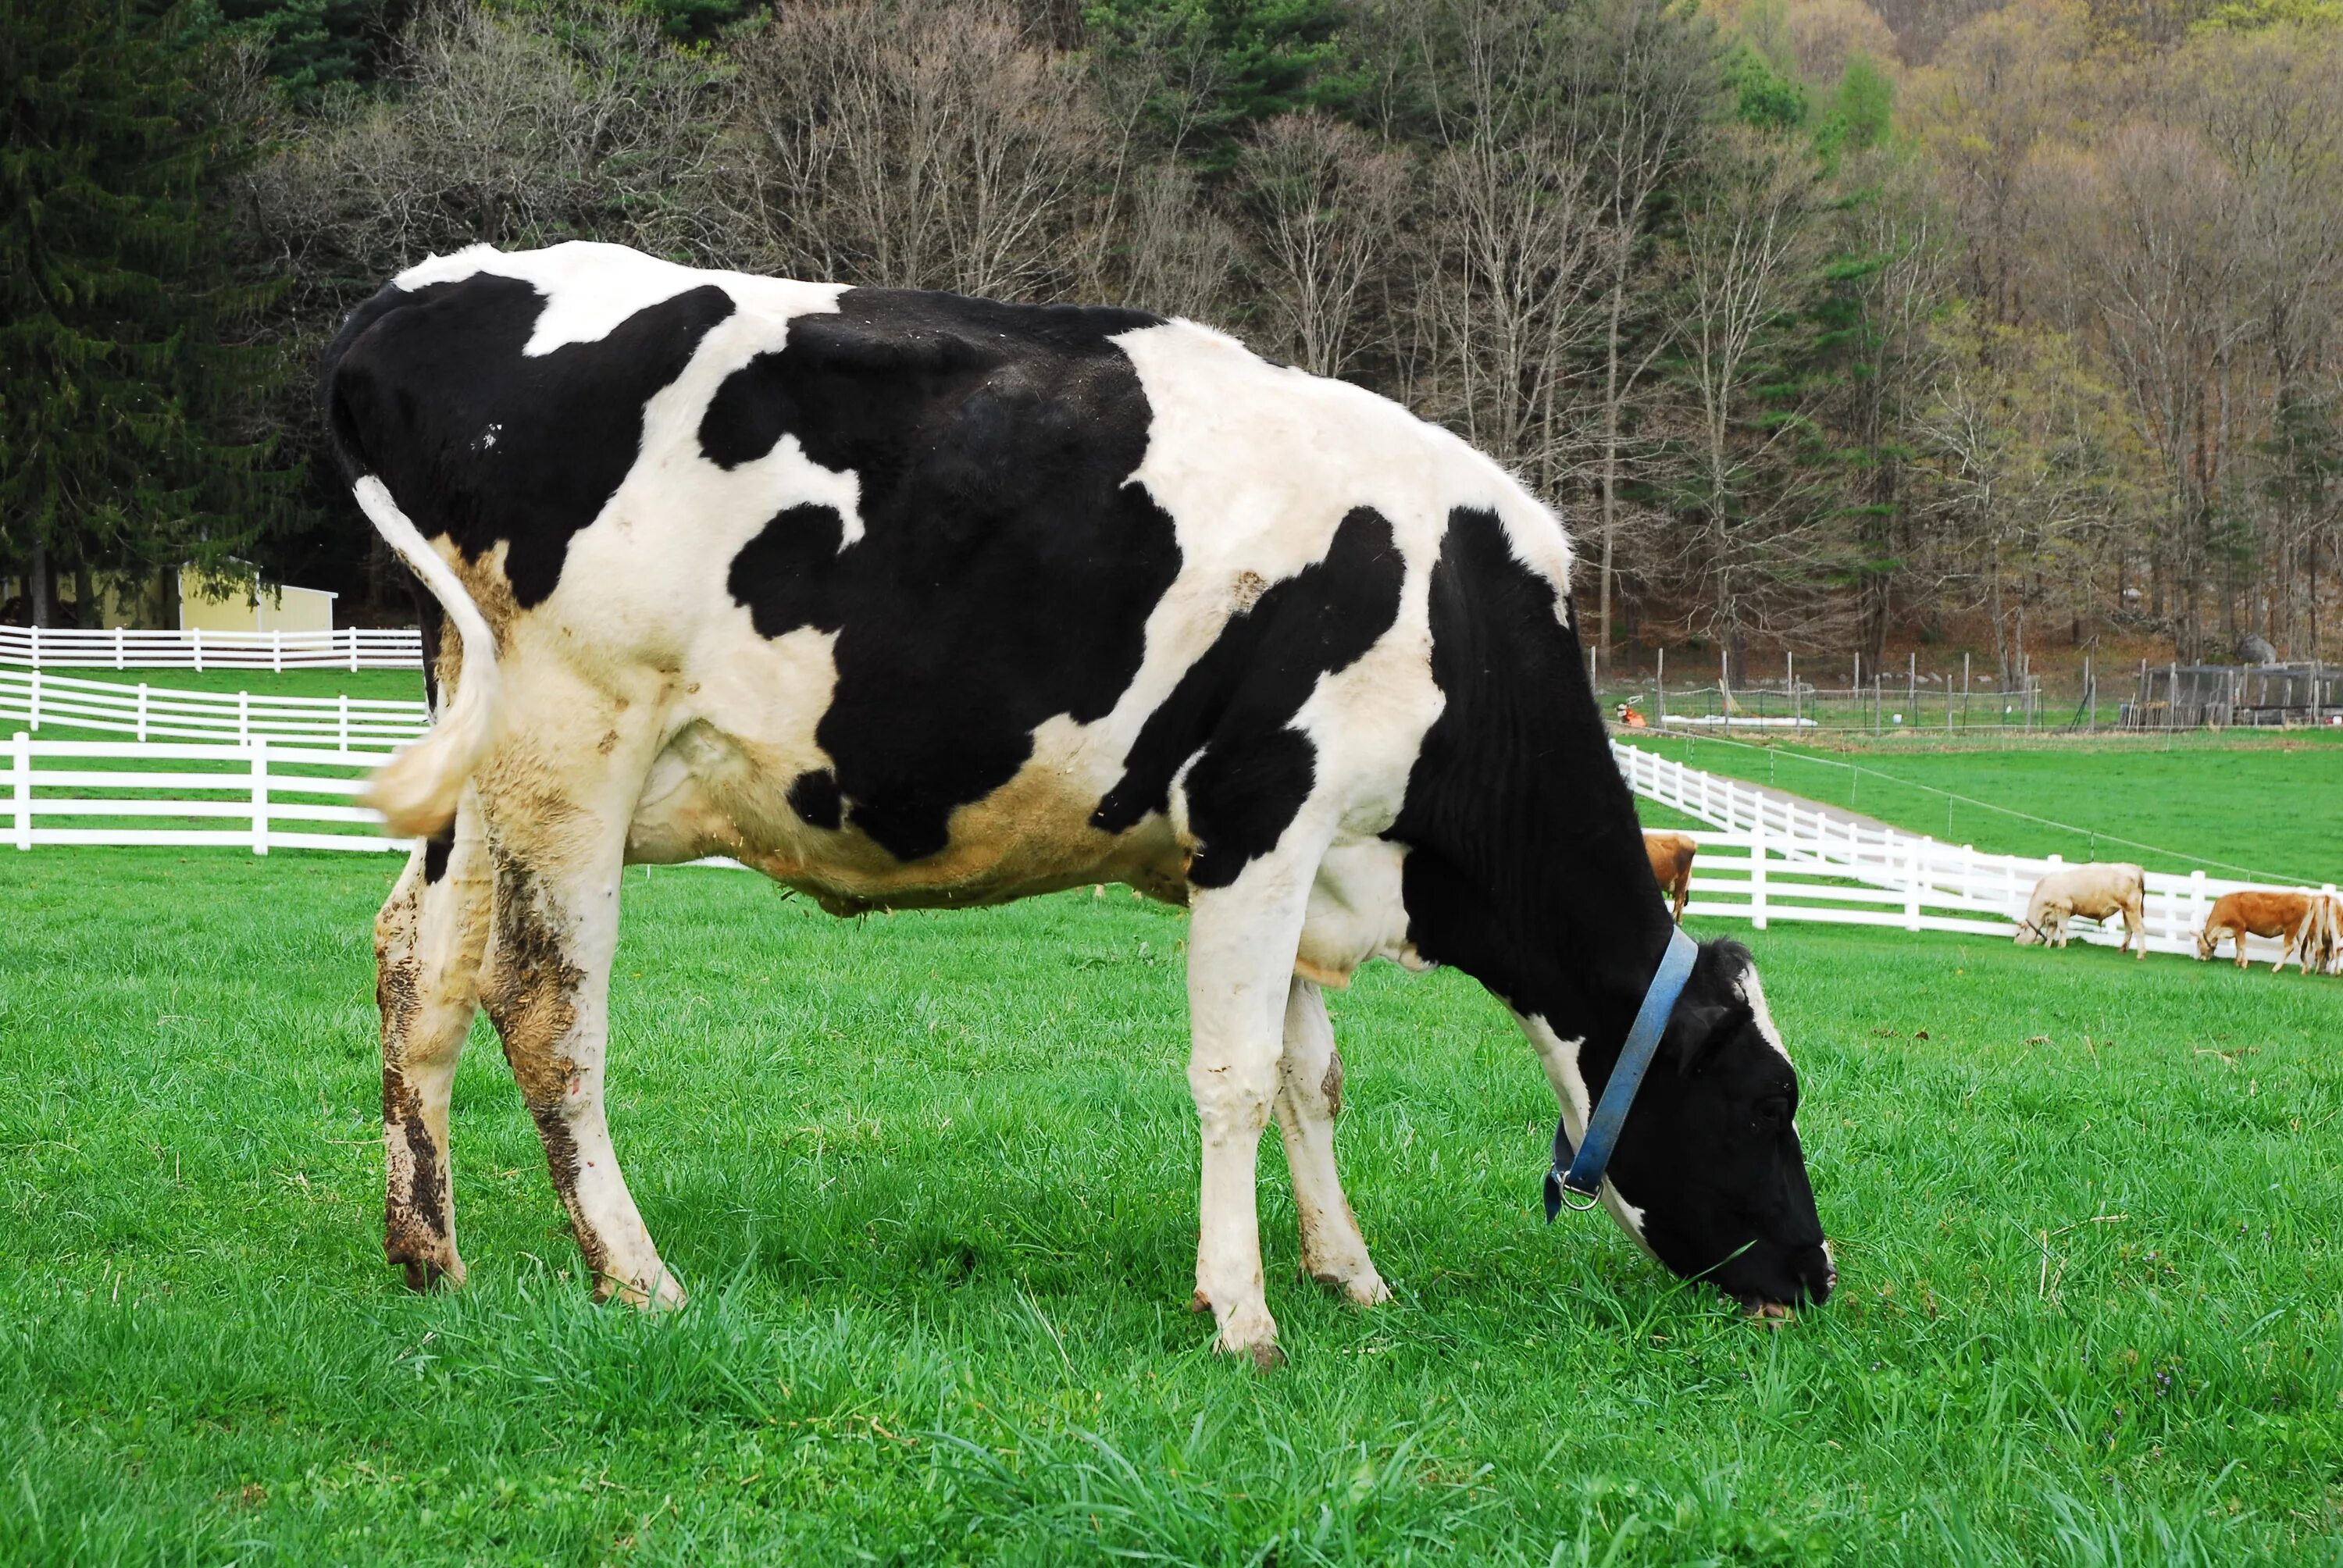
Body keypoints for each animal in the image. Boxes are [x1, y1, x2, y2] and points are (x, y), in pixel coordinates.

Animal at [326, 241, 1828, 1359]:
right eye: (1769, 1099)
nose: (1815, 1278)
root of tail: (414, 294)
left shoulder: (1297, 851)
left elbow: (1313, 1074)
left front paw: (1352, 1274)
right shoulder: (1264, 817)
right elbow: (1237, 1077)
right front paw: (1244, 1313)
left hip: (485, 756)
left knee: (420, 965)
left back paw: (431, 1254)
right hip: (576, 728)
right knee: (545, 1006)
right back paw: (635, 1276)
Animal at [2006, 862, 2146, 960]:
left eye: (2018, 934)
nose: (2015, 944)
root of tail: (2134, 867)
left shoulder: (2064, 908)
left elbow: (2062, 928)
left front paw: (2061, 946)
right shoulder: (2052, 915)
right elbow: (2051, 931)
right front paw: (2047, 946)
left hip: (2132, 908)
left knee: (2139, 929)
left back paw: (2141, 954)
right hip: (2125, 910)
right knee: (2129, 929)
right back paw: (2122, 950)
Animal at [2193, 886, 2324, 970]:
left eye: (2198, 943)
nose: (2202, 958)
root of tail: (2307, 898)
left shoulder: (2240, 927)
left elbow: (2242, 945)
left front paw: (2244, 964)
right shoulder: (2237, 931)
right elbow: (2238, 946)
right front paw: (2237, 961)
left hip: (2291, 929)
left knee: (2289, 947)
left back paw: (2276, 968)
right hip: (2302, 931)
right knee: (2307, 947)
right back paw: (2305, 969)